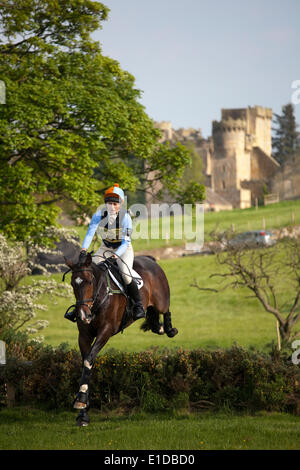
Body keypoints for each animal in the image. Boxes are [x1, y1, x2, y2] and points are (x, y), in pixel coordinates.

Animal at [62, 253, 177, 426]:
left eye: (89, 281)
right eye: (72, 283)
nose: (83, 315)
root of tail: (150, 260)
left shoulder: (106, 331)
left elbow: (89, 360)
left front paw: (81, 400)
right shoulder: (84, 336)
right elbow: (86, 364)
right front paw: (83, 413)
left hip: (161, 301)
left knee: (165, 310)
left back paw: (170, 329)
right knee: (155, 321)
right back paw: (159, 326)